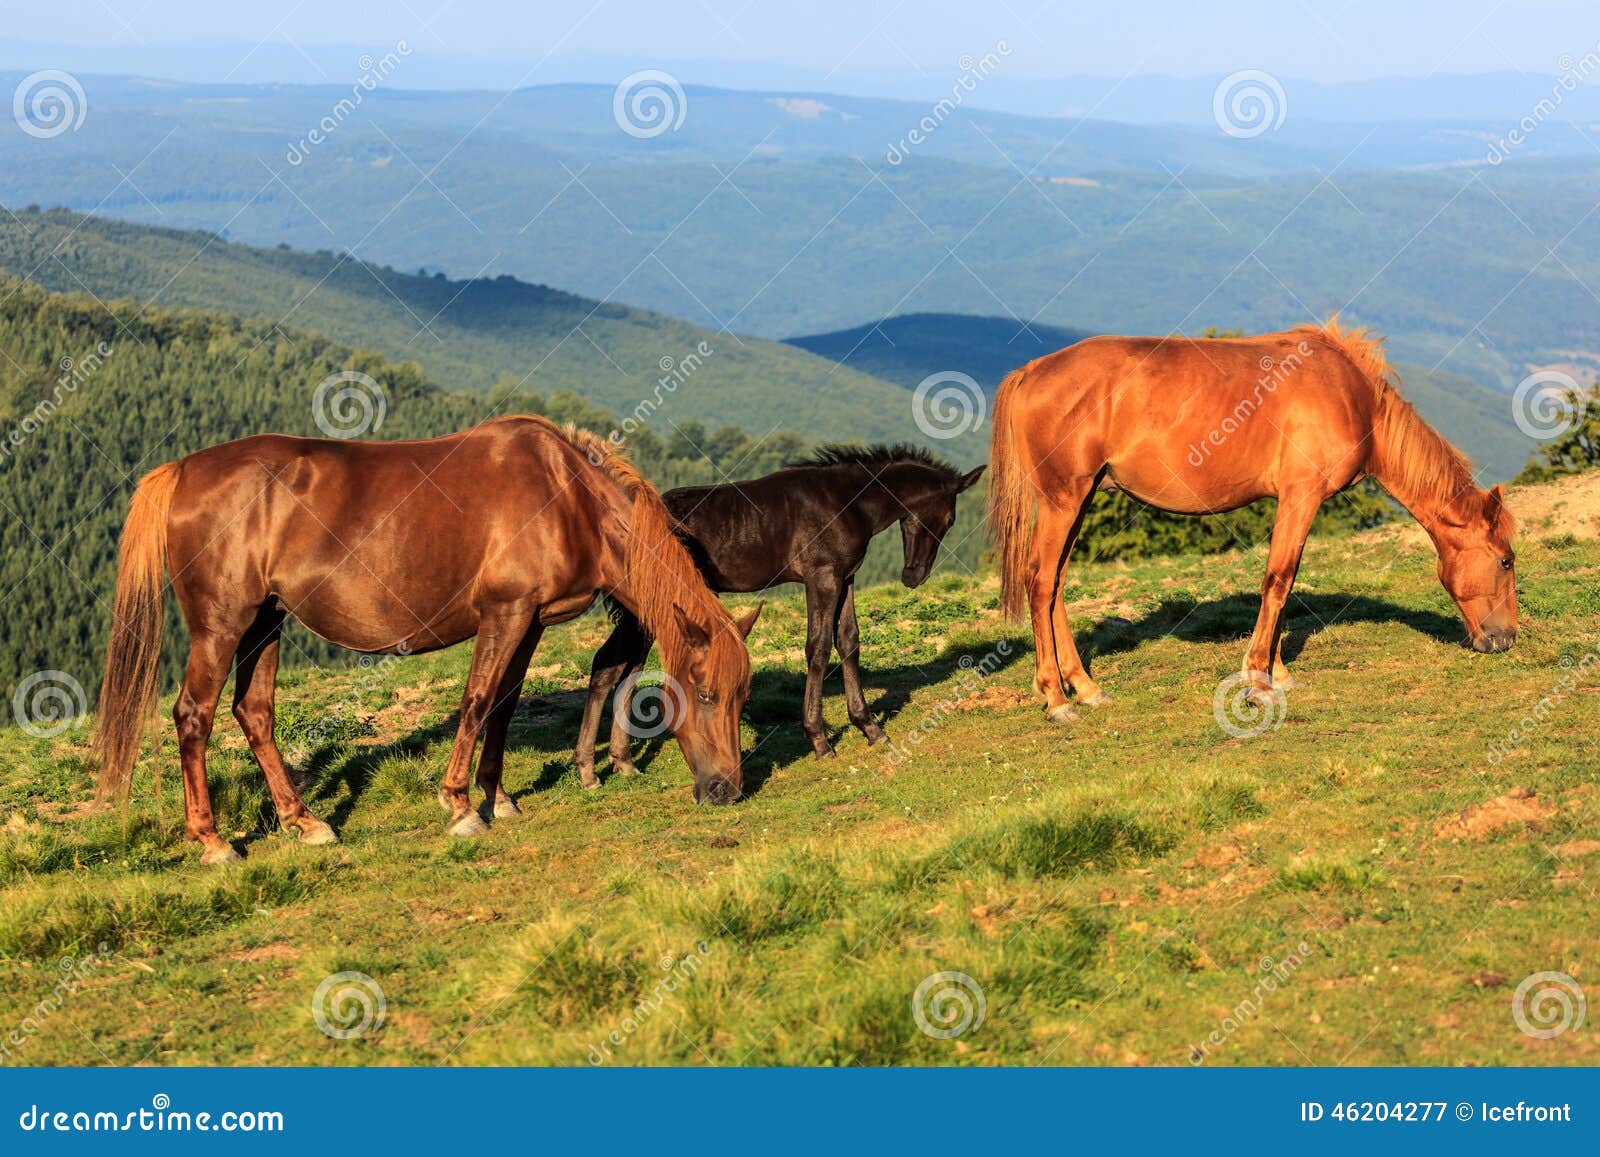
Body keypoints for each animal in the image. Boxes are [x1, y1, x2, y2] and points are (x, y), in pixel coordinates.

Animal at [93, 415, 760, 864]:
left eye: (740, 696)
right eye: (703, 693)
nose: (726, 791)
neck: (566, 495)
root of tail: (183, 471)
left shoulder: (531, 622)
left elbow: (503, 706)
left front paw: (499, 797)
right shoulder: (504, 614)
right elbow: (476, 701)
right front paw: (461, 806)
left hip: (265, 621)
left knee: (253, 713)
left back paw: (304, 821)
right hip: (223, 625)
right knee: (194, 715)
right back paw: (212, 842)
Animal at [575, 444, 985, 779]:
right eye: (950, 519)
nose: (913, 576)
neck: (847, 501)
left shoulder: (846, 577)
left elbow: (849, 641)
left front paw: (869, 727)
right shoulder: (821, 577)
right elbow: (818, 648)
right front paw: (819, 740)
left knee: (623, 667)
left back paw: (618, 762)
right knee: (610, 664)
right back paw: (592, 768)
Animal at [987, 317, 1518, 722]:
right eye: (1506, 561)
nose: (1506, 639)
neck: (1350, 395)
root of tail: (1031, 371)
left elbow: (1284, 583)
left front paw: (1276, 672)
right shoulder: (1301, 497)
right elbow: (1279, 580)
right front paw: (1259, 680)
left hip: (1078, 500)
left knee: (1056, 583)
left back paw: (1084, 686)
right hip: (1064, 500)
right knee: (1040, 582)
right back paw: (1057, 698)